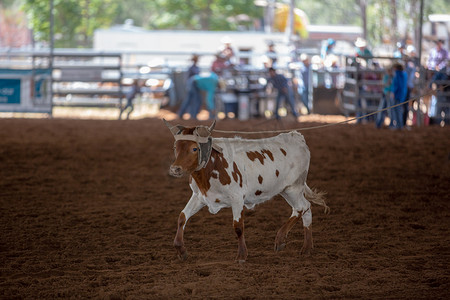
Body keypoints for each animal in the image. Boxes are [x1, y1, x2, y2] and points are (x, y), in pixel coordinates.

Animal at [163, 120, 328, 262]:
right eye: (175, 148)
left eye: (194, 148)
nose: (175, 169)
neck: (214, 165)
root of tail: (296, 137)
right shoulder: (199, 196)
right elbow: (182, 217)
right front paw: (180, 249)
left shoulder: (237, 198)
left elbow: (238, 227)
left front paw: (242, 255)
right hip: (287, 190)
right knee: (306, 208)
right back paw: (307, 248)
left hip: (293, 187)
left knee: (301, 207)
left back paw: (281, 238)